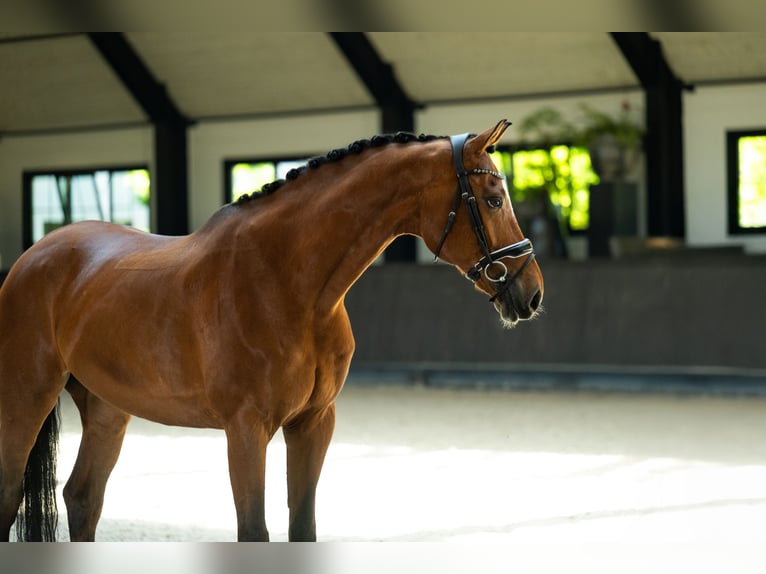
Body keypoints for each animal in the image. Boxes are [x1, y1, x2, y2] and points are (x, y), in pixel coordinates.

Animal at [0, 120, 543, 542]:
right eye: (494, 199)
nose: (532, 292)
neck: (289, 284)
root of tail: (33, 255)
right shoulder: (246, 429)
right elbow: (254, 530)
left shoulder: (313, 422)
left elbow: (302, 526)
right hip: (27, 395)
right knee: (11, 494)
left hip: (108, 408)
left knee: (83, 499)